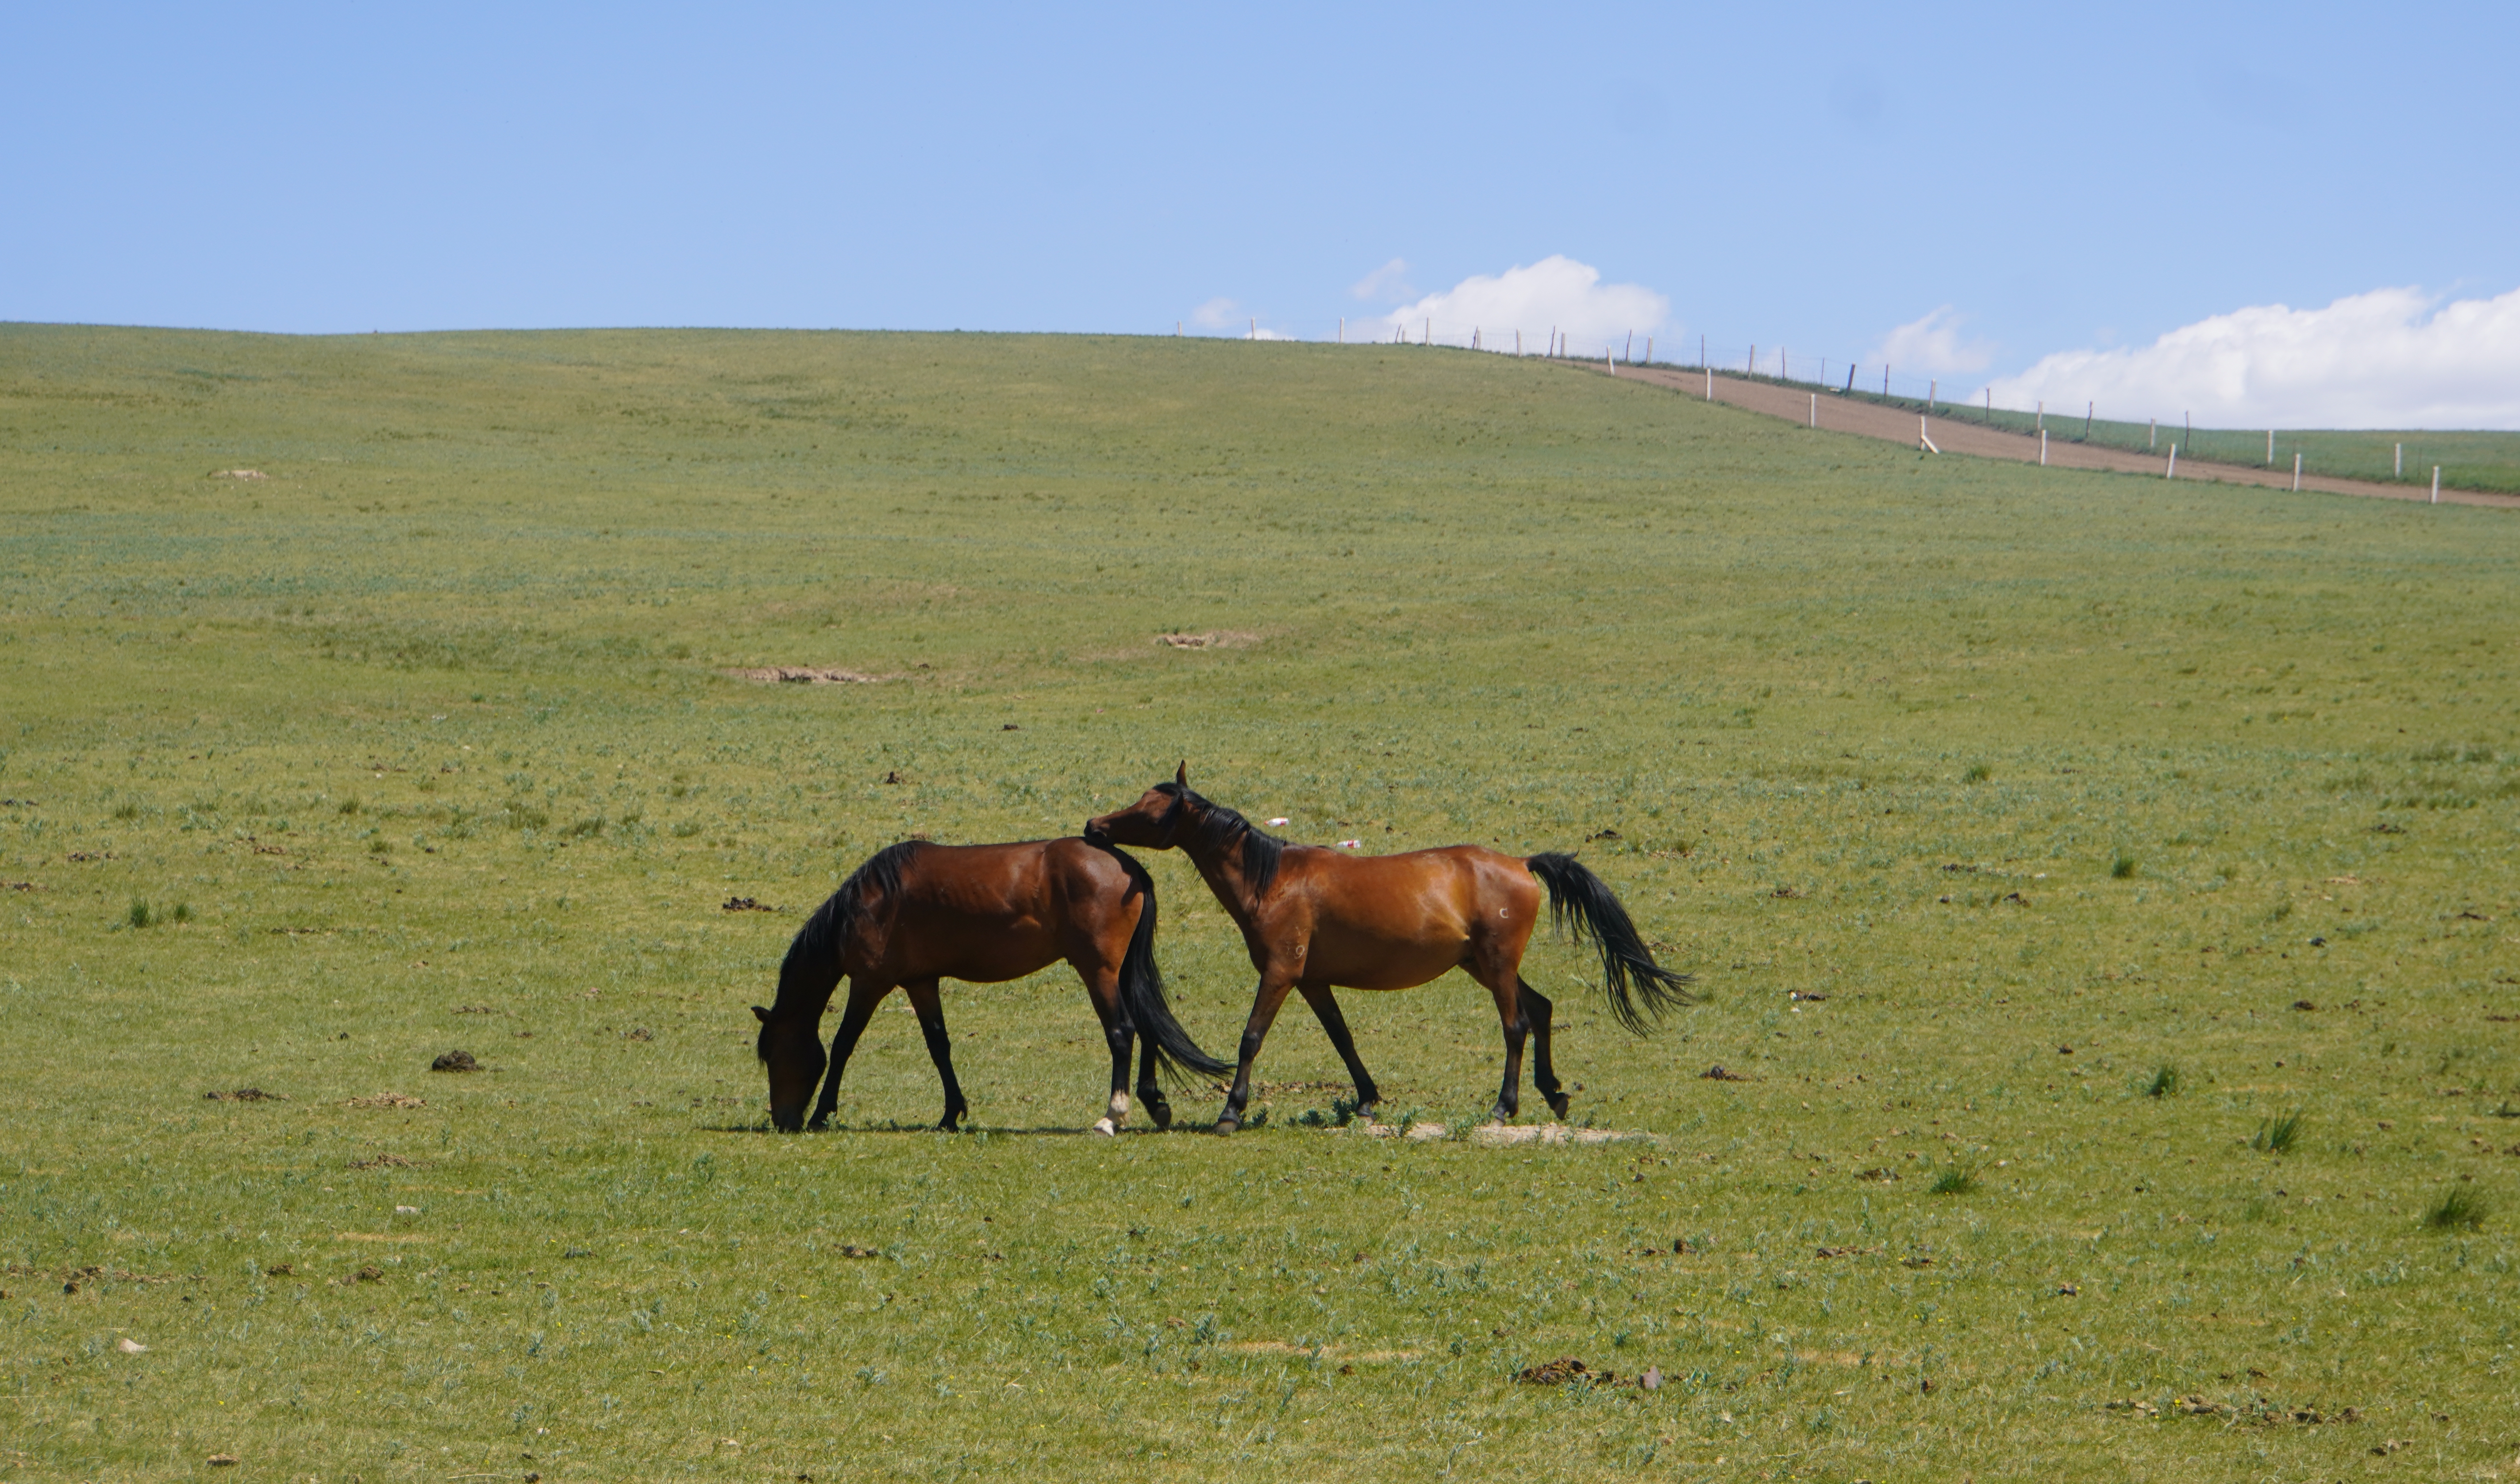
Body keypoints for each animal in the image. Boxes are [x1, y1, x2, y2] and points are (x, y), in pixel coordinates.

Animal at [741, 831, 1224, 1134]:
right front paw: (951, 1114)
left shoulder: (868, 983)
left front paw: (822, 1113)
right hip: (1120, 973)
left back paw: (1112, 1116)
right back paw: (1153, 1102)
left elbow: (843, 1046)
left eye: (774, 1054)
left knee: (1123, 1033)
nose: (782, 1119)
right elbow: (939, 1047)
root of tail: (1127, 865)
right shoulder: (921, 983)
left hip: (1100, 972)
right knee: (1146, 1028)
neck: (872, 901)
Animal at [1083, 766, 1693, 1134]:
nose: (1094, 826)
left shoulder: (1281, 973)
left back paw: (1505, 1105)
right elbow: (1342, 1038)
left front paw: (1231, 1111)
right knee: (1540, 1009)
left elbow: (1251, 1038)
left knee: (1517, 1024)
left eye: (1151, 810)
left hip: (1496, 967)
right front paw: (1367, 1097)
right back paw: (1553, 1092)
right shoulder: (1313, 981)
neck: (1273, 879)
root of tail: (1522, 864)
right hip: (1481, 965)